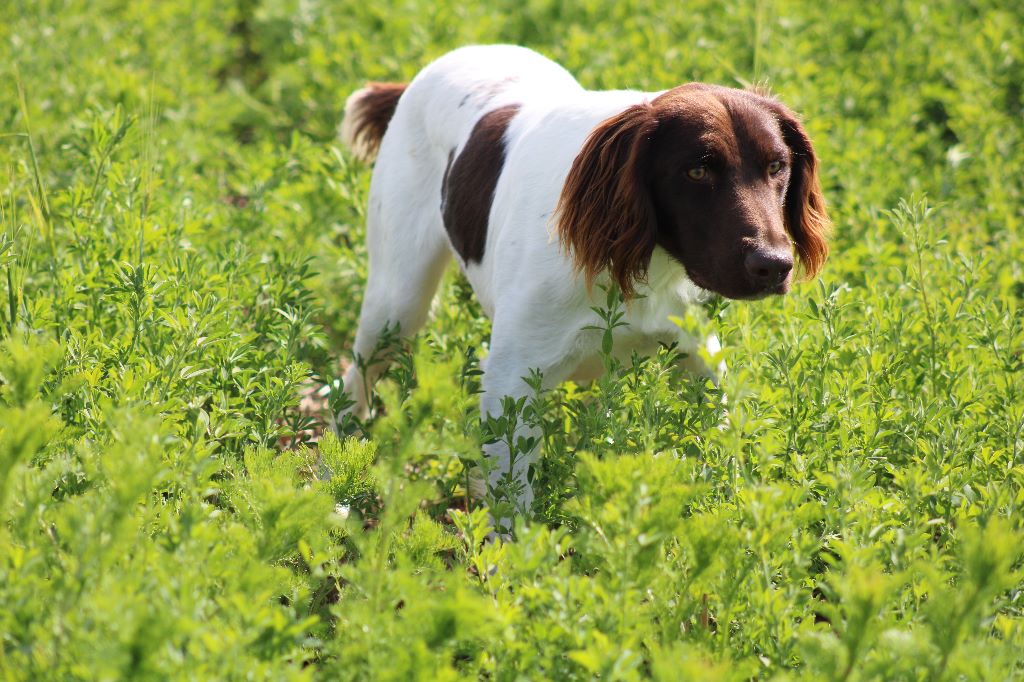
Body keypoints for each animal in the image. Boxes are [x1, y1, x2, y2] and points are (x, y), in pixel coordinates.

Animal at [339, 43, 827, 520]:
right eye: (697, 171)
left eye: (777, 166)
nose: (774, 265)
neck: (640, 260)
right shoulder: (510, 384)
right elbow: (514, 510)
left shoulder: (700, 354)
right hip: (396, 303)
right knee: (353, 384)